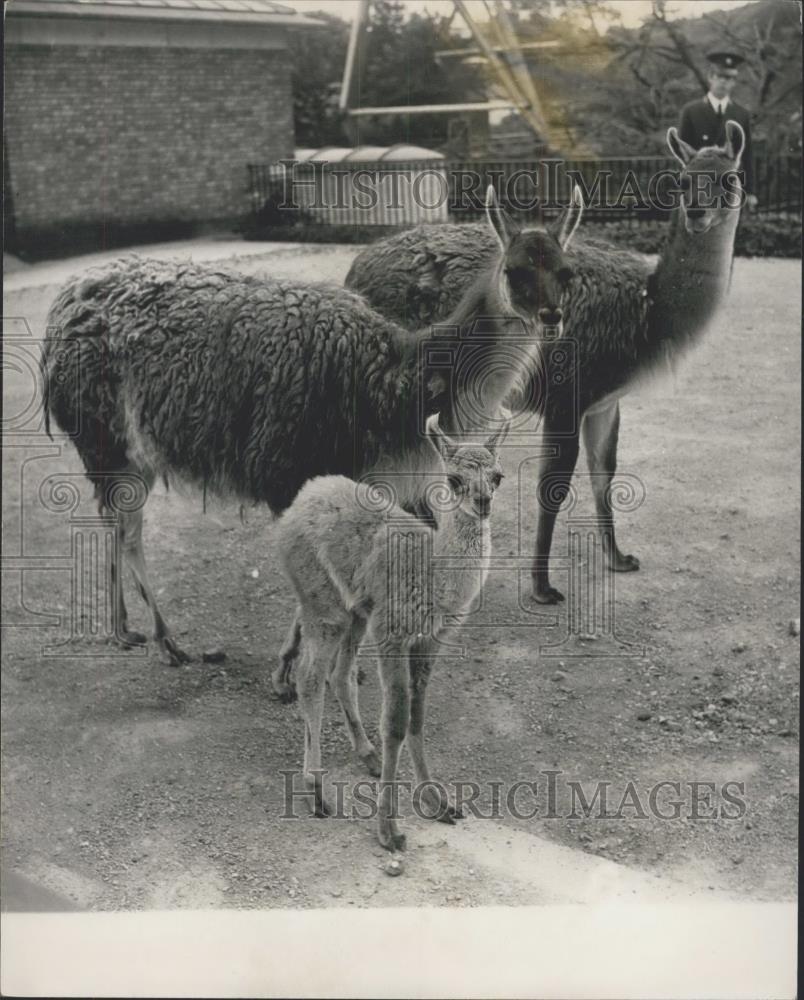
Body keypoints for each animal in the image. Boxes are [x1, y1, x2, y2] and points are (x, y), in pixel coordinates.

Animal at [274, 414, 506, 852]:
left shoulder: (430, 640)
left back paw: (367, 754)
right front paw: (389, 830)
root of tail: (306, 492)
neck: (433, 571)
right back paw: (316, 790)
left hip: (357, 611)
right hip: (324, 603)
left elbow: (417, 717)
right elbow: (396, 723)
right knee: (310, 678)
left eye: (497, 476)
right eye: (454, 479)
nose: (482, 503)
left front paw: (438, 802)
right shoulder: (393, 634)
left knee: (340, 674)